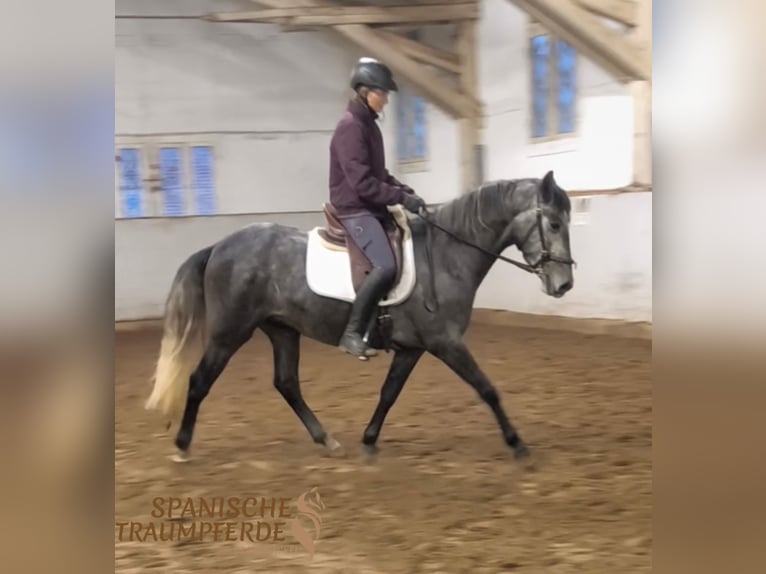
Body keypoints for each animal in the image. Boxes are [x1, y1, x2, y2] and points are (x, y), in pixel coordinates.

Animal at [144, 170, 575, 463]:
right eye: (554, 224)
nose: (564, 284)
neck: (446, 255)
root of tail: (219, 246)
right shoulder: (446, 343)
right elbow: (487, 389)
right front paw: (517, 444)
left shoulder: (413, 348)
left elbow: (389, 393)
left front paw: (369, 440)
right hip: (230, 333)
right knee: (200, 380)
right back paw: (182, 446)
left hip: (282, 330)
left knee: (286, 383)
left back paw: (326, 440)